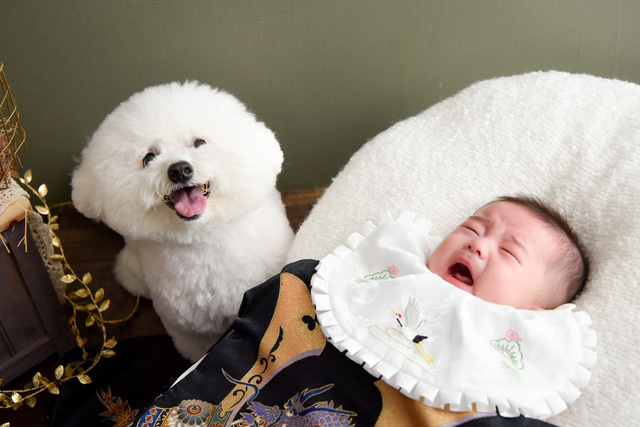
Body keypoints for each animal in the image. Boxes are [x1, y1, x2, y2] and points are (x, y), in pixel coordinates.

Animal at [72, 81, 296, 362]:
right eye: (148, 158)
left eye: (199, 143)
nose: (179, 170)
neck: (201, 241)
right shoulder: (188, 329)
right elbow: (198, 350)